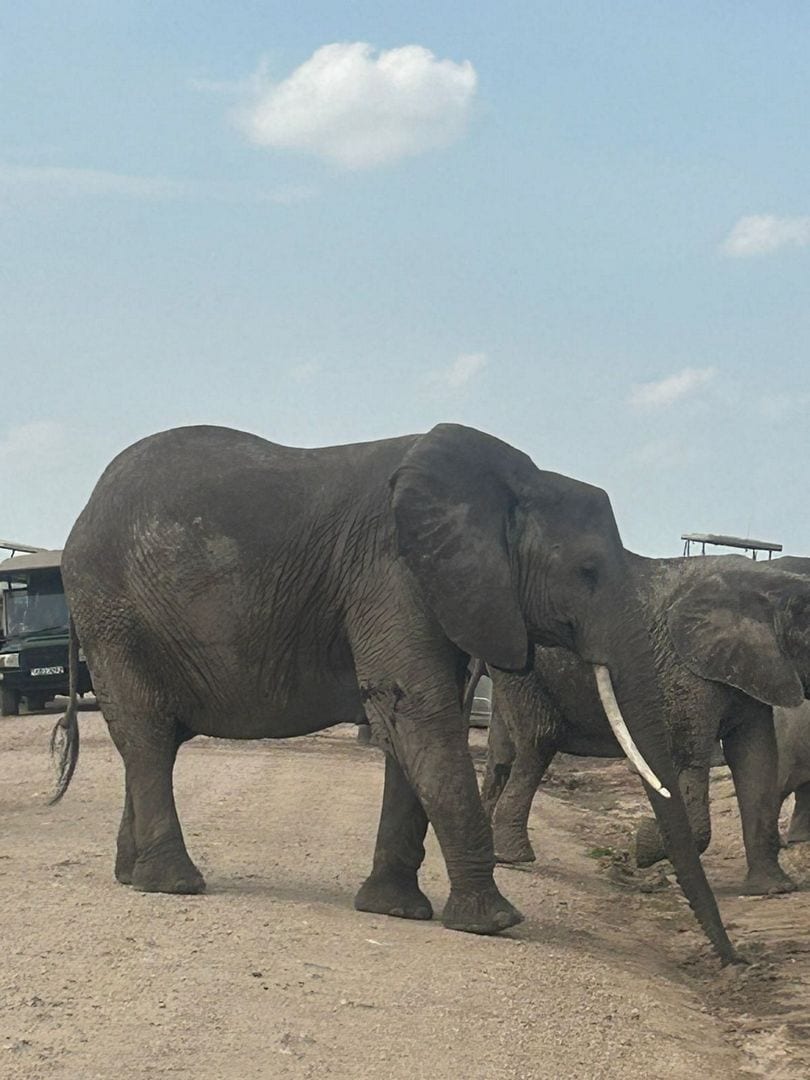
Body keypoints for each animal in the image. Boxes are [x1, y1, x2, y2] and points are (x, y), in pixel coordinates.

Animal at [49, 422, 735, 958]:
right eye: (587, 572)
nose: (731, 963)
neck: (508, 484)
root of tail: (82, 515)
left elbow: (413, 721)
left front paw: (394, 911)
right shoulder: (391, 574)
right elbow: (419, 713)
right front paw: (494, 923)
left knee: (152, 741)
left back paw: (131, 876)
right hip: (113, 613)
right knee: (146, 734)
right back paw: (175, 885)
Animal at [479, 552, 810, 896]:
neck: (770, 582)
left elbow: (757, 763)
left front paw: (774, 889)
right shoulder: (683, 669)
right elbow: (689, 756)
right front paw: (641, 845)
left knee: (502, 755)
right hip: (522, 665)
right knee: (539, 740)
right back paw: (512, 856)